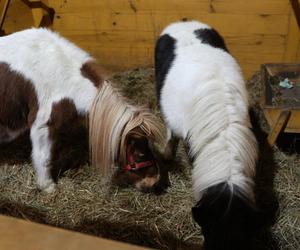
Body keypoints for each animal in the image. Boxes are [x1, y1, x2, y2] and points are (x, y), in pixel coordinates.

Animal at [0, 28, 164, 193]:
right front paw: (47, 186)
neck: (64, 78)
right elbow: (44, 156)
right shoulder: (42, 125)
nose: (154, 182)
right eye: (140, 154)